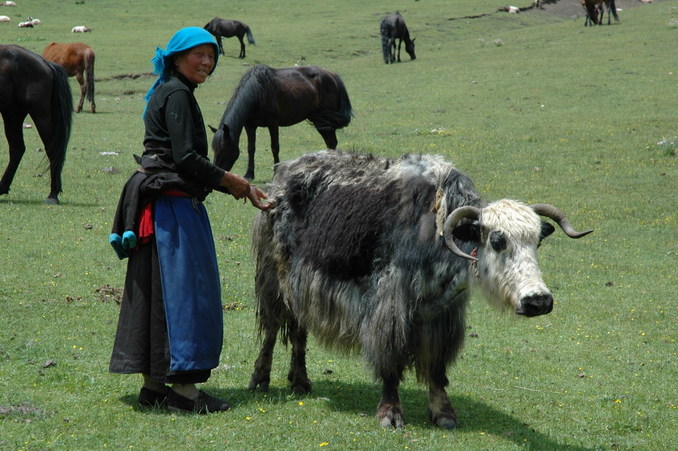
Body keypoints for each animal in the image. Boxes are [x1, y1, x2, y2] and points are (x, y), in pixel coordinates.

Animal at [0, 45, 73, 204]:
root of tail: (45, 63)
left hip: (41, 115)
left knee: (52, 150)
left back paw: (53, 194)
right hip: (12, 115)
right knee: (17, 149)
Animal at [210, 65, 354, 180]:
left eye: (224, 148)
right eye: (214, 149)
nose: (217, 169)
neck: (258, 92)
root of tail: (332, 76)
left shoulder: (273, 123)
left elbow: (275, 147)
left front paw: (276, 173)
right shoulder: (250, 125)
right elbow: (251, 148)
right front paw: (249, 174)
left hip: (324, 121)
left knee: (332, 142)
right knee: (330, 142)